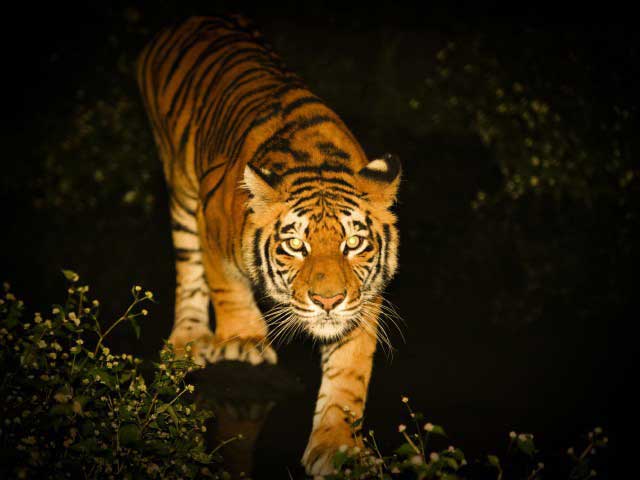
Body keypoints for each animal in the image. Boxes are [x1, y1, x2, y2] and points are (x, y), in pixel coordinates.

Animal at [137, 15, 400, 476]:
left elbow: (348, 376)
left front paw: (337, 448)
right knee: (188, 268)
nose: (328, 300)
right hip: (180, 186)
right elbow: (226, 286)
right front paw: (244, 340)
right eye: (295, 245)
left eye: (353, 243)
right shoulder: (209, 217)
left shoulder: (363, 301)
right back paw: (189, 338)